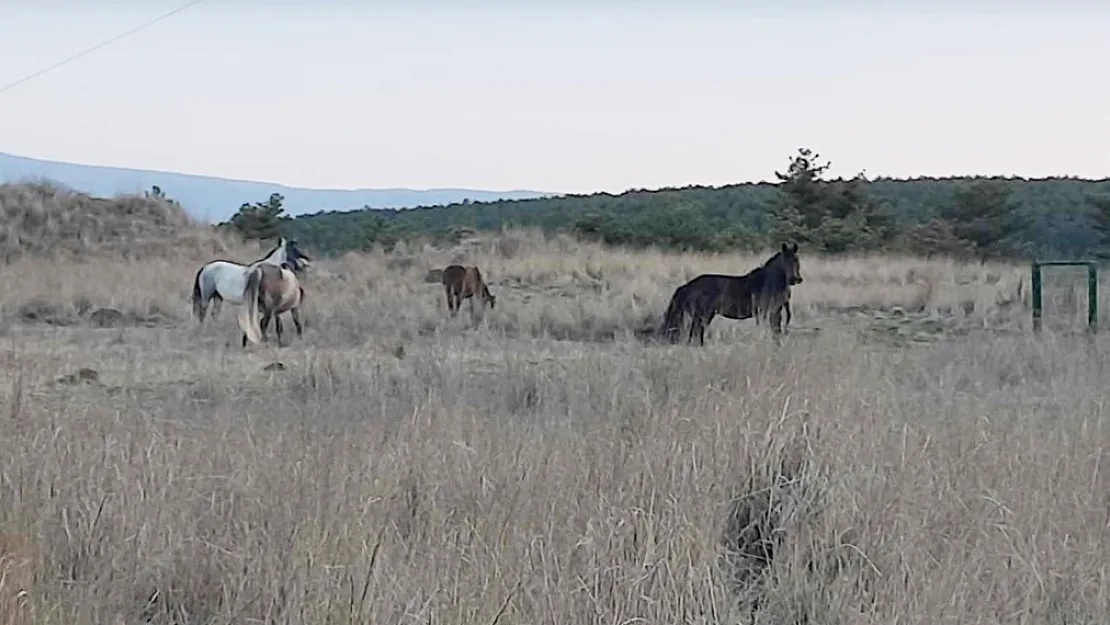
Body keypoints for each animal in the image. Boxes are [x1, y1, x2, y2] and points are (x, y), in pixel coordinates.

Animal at [657, 242, 808, 344]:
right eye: (786, 261)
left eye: (797, 260)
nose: (796, 279)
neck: (768, 282)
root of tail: (687, 286)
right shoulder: (766, 312)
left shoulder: (776, 312)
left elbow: (776, 332)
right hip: (702, 315)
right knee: (695, 333)